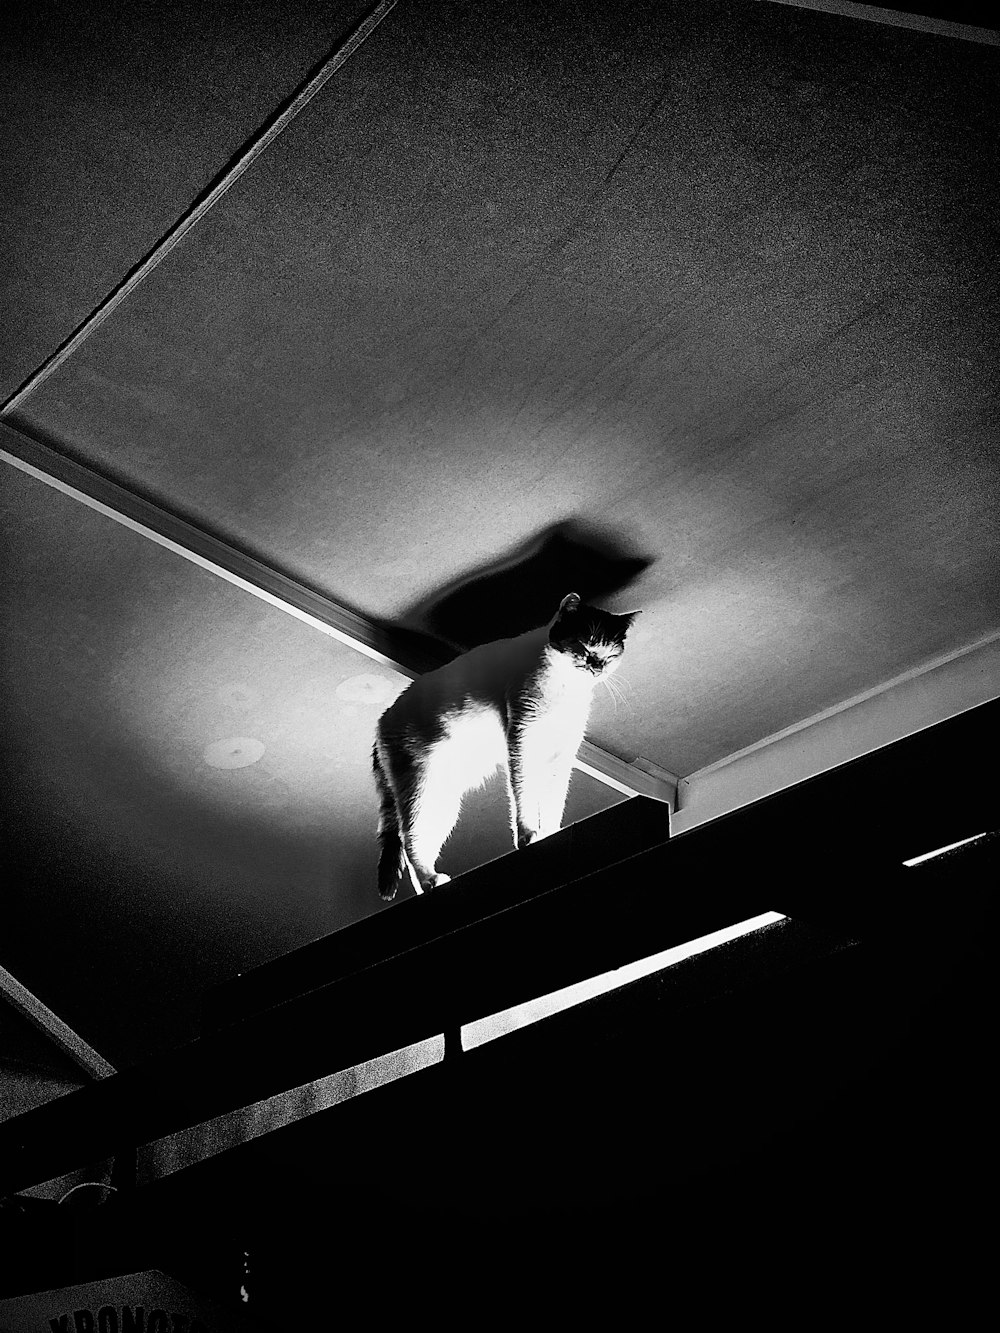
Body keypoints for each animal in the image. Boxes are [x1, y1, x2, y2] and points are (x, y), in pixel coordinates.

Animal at [373, 594, 637, 895]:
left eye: (611, 655)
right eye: (584, 644)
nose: (596, 665)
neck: (564, 688)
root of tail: (382, 720)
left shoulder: (560, 758)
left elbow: (553, 802)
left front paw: (551, 833)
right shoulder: (523, 741)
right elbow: (524, 794)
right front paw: (528, 835)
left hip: (443, 799)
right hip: (422, 788)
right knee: (410, 838)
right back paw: (430, 880)